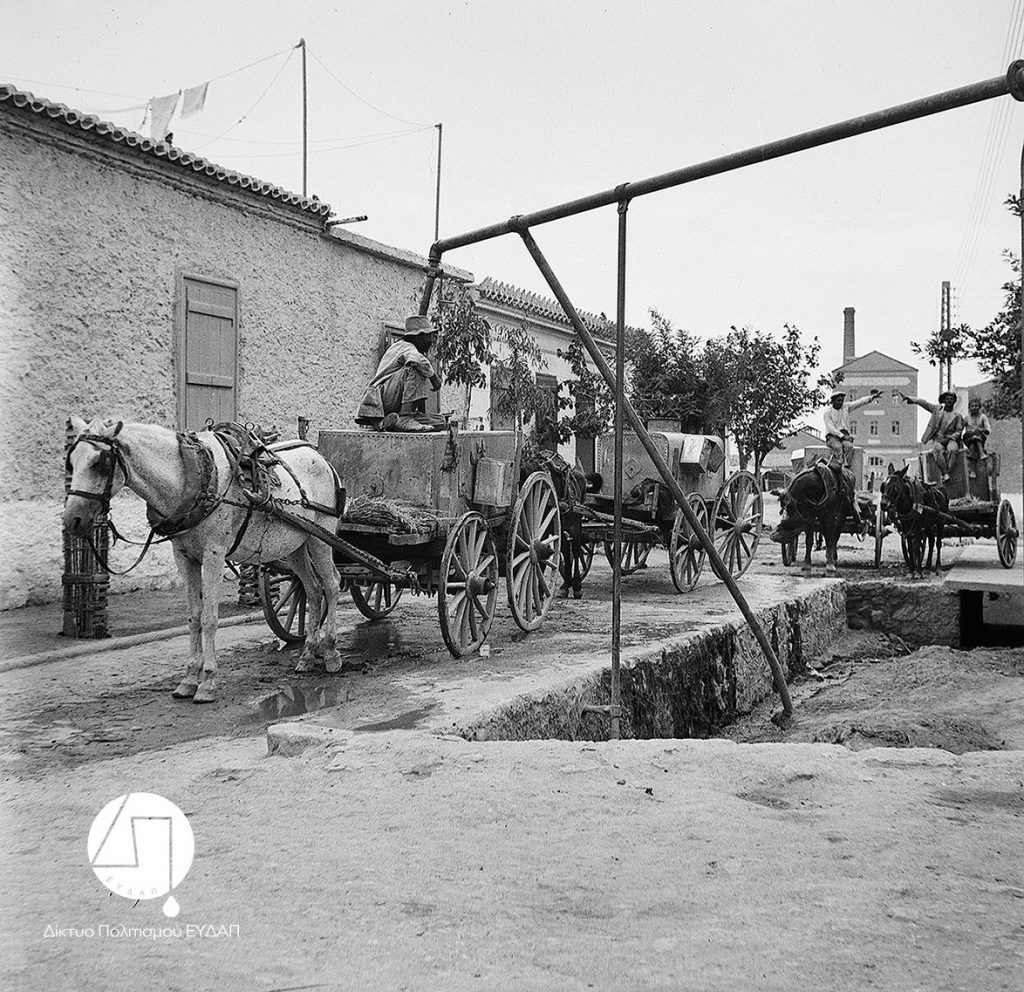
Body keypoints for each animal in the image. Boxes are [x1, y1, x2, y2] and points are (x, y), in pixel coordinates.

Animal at [64, 413, 344, 700]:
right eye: (71, 462)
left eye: (99, 463)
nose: (72, 520)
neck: (194, 475)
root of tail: (320, 457)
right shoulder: (184, 557)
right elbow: (194, 617)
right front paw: (189, 678)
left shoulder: (214, 554)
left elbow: (209, 618)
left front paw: (208, 681)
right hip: (297, 545)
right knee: (312, 590)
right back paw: (308, 655)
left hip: (320, 537)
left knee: (332, 584)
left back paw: (331, 652)